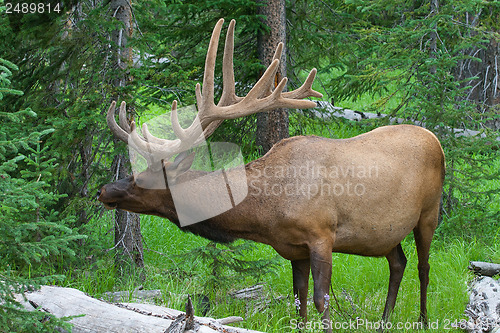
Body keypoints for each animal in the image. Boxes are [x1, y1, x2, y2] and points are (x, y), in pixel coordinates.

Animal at [97, 18, 446, 330]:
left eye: (143, 179)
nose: (104, 190)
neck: (265, 213)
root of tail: (435, 139)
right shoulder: (293, 248)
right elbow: (299, 302)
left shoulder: (322, 234)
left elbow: (321, 301)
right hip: (386, 233)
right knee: (398, 263)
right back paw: (385, 321)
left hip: (429, 213)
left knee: (424, 266)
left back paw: (424, 321)